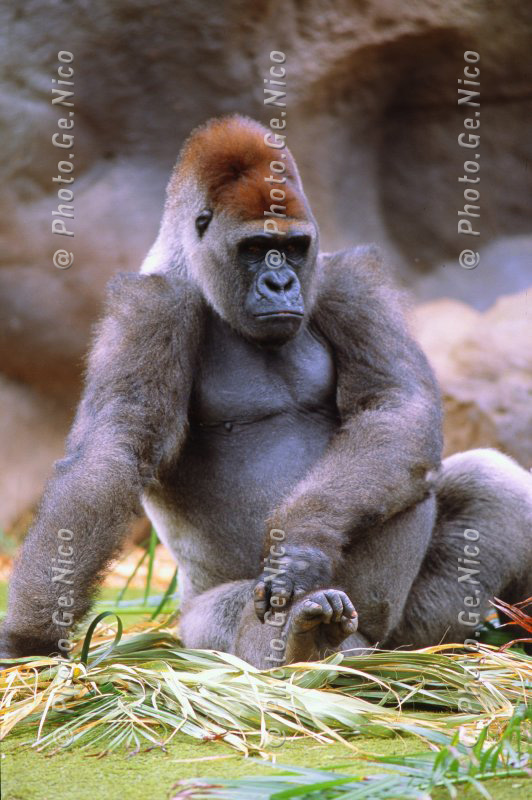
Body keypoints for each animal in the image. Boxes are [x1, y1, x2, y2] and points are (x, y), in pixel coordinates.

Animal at [1, 115, 531, 667]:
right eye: (255, 249)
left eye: (294, 248)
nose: (280, 284)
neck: (191, 265)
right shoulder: (151, 306)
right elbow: (112, 453)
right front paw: (30, 639)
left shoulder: (346, 280)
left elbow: (394, 405)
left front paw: (300, 542)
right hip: (200, 628)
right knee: (234, 617)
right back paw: (304, 638)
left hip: (407, 633)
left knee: (486, 483)